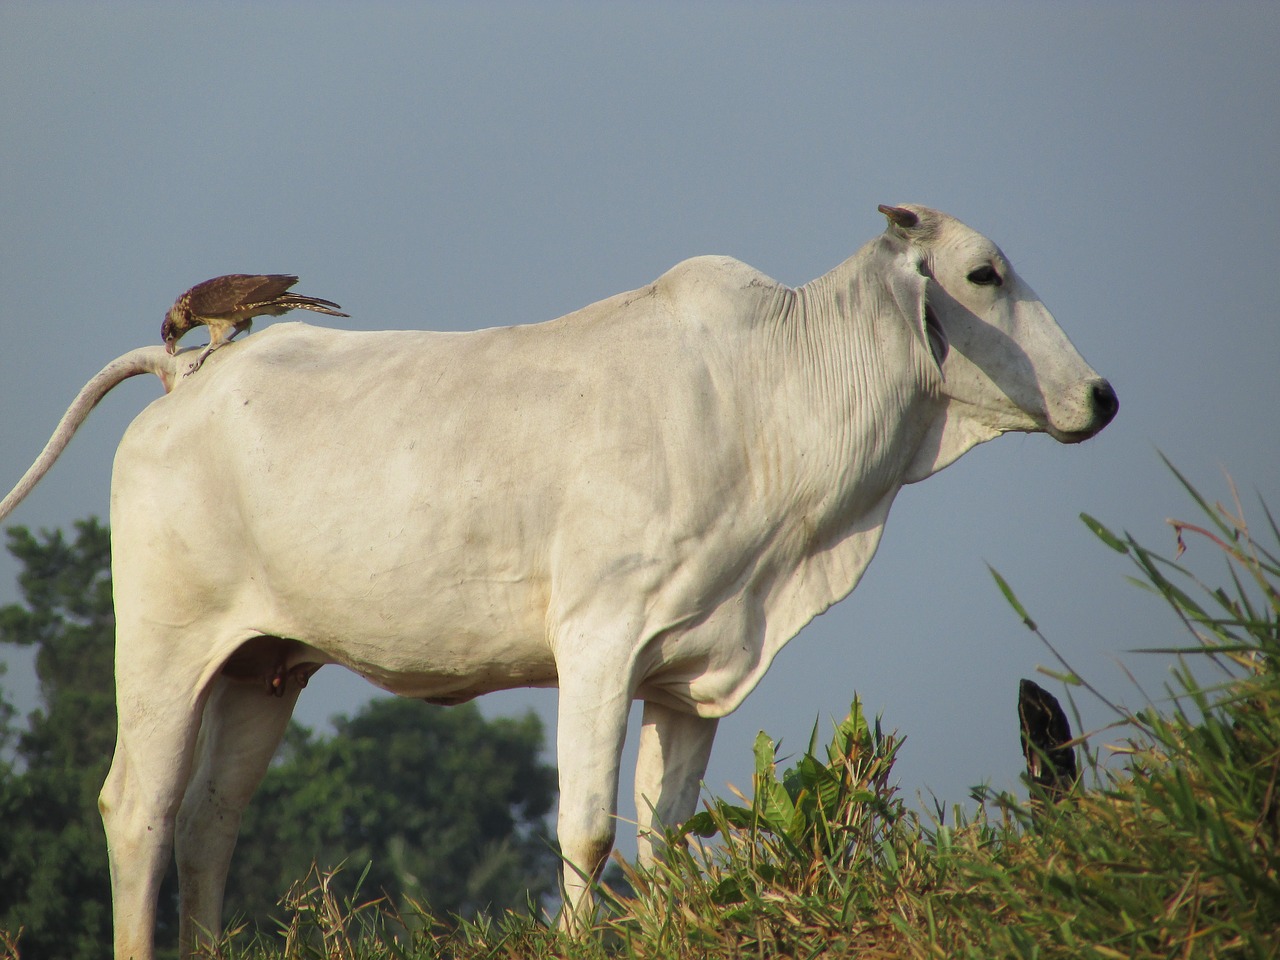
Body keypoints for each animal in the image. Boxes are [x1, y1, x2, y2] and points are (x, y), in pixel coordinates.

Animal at [0, 207, 1116, 957]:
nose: (1101, 397)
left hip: (262, 666)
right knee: (139, 810)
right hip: (163, 643)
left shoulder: (691, 672)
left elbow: (666, 835)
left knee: (209, 823)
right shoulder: (598, 640)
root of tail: (191, 376)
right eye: (982, 274)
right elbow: (585, 829)